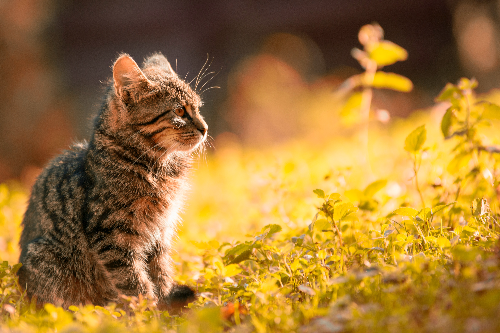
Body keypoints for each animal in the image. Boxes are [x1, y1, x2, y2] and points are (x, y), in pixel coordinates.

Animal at [16, 52, 207, 308]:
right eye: (179, 111)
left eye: (198, 108)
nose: (205, 128)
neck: (158, 167)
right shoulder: (112, 235)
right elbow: (135, 282)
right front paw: (148, 312)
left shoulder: (160, 232)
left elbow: (161, 273)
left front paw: (166, 304)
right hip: (44, 257)